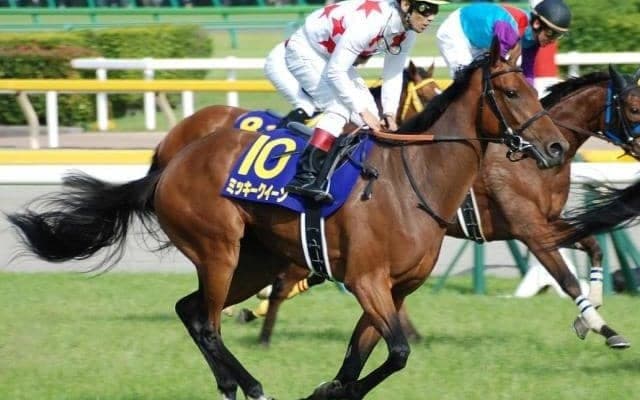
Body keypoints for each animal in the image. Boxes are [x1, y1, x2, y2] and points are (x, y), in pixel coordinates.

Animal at [7, 40, 569, 400]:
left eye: (535, 91)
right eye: (513, 93)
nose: (557, 148)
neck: (413, 181)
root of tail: (171, 163)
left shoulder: (395, 288)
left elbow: (364, 356)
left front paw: (332, 389)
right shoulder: (367, 280)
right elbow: (398, 352)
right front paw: (326, 388)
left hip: (251, 262)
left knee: (190, 310)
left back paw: (230, 384)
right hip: (218, 249)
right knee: (208, 323)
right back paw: (253, 387)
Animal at [251, 64, 640, 348]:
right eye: (635, 108)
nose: (555, 149)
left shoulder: (547, 222)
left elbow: (594, 248)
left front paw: (593, 311)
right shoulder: (530, 229)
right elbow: (567, 280)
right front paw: (602, 327)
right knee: (288, 279)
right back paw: (264, 333)